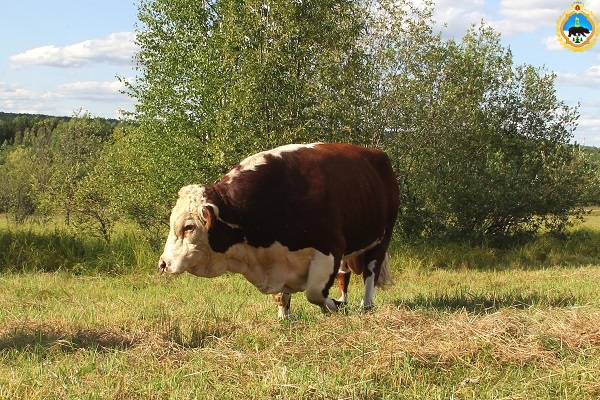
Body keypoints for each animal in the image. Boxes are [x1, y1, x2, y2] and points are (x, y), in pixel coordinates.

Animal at [158, 144, 398, 318]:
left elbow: (314, 293)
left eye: (188, 227)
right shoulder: (278, 259)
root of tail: (378, 155)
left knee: (370, 272)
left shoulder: (330, 248)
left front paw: (334, 307)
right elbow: (282, 295)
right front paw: (285, 317)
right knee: (343, 274)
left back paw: (365, 304)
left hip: (382, 237)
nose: (163, 263)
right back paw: (345, 299)